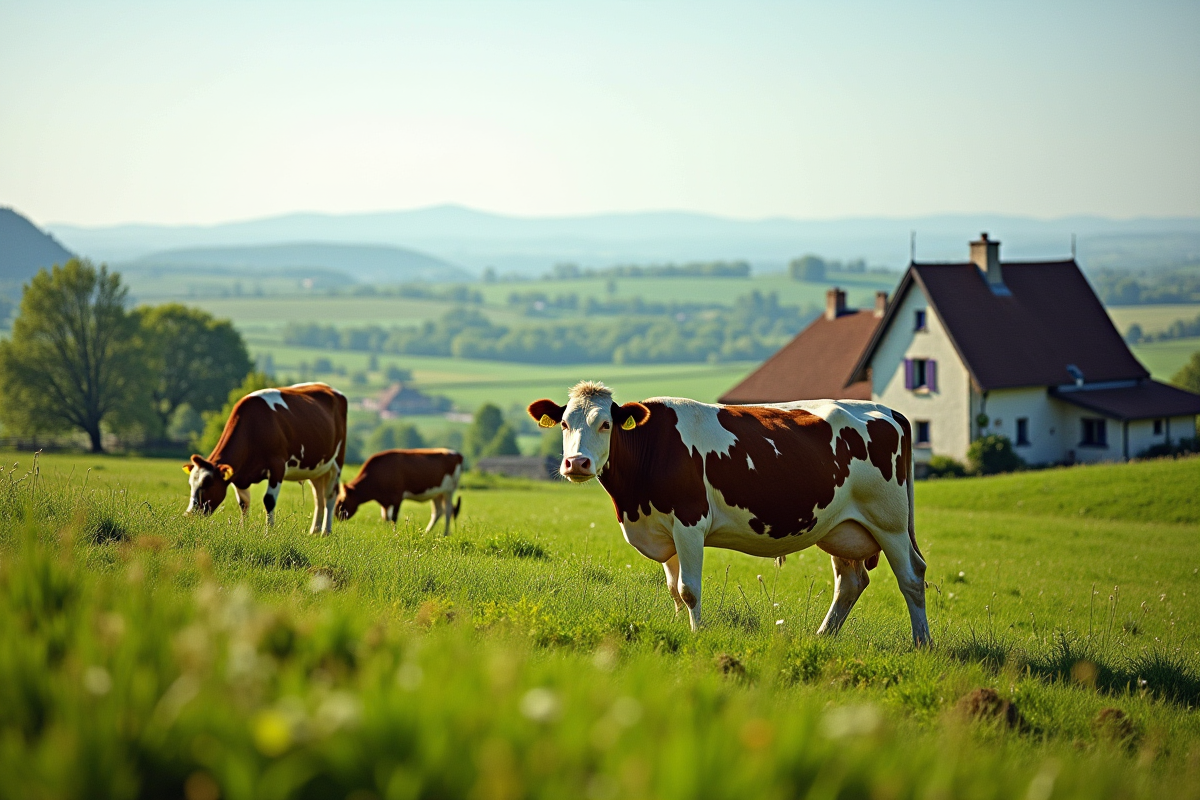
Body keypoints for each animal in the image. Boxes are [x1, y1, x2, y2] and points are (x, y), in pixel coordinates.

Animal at [183, 383, 348, 534]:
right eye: (191, 484)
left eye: (208, 484)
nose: (189, 514)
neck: (252, 429)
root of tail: (328, 387)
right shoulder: (240, 476)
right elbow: (243, 503)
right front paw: (243, 529)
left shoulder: (277, 466)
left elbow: (269, 500)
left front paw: (269, 532)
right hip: (316, 468)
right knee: (319, 497)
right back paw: (314, 531)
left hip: (336, 463)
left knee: (330, 495)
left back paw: (326, 531)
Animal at [340, 448, 470, 534]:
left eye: (341, 501)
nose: (338, 516)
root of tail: (457, 454)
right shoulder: (385, 501)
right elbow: (385, 517)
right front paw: (386, 531)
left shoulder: (397, 497)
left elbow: (393, 517)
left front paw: (393, 533)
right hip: (436, 493)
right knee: (438, 511)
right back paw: (426, 533)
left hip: (449, 491)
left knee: (448, 511)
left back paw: (445, 534)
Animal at [525, 381, 926, 642]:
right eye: (565, 423)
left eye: (606, 424)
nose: (576, 463)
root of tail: (888, 411)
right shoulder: (663, 531)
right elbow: (672, 590)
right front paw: (678, 628)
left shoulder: (689, 523)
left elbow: (688, 589)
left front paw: (696, 634)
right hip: (840, 527)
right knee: (850, 583)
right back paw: (823, 637)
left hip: (889, 523)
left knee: (912, 576)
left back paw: (922, 643)